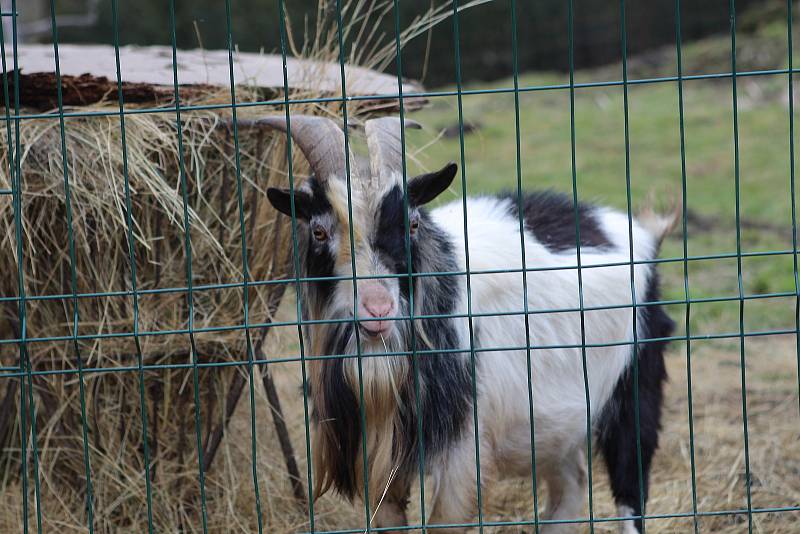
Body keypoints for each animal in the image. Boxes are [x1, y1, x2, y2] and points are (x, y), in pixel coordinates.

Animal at [264, 117, 676, 534]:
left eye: (412, 224)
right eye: (319, 231)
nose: (378, 308)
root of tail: (634, 230)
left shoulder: (464, 451)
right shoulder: (377, 463)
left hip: (636, 386)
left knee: (630, 486)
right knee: (571, 484)